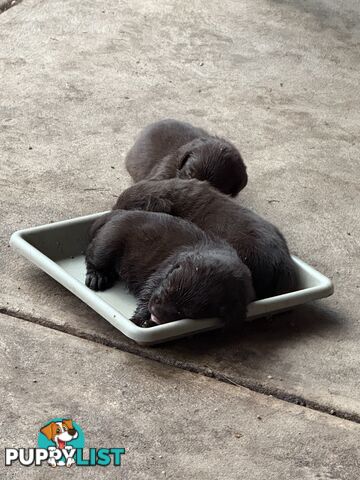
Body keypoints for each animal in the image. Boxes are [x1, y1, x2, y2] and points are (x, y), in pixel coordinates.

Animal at [85, 209, 253, 326]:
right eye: (167, 289)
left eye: (183, 312)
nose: (155, 312)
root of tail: (118, 214)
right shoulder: (163, 271)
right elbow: (148, 291)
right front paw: (138, 318)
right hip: (109, 242)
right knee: (93, 256)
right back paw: (97, 277)